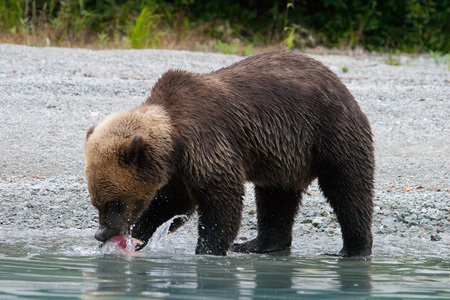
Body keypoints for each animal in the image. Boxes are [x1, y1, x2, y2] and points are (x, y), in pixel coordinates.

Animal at [86, 50, 374, 256]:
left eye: (115, 202)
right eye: (96, 202)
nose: (102, 233)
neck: (175, 141)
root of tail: (337, 80)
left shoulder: (207, 143)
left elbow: (221, 198)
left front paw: (207, 249)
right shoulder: (177, 171)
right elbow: (171, 203)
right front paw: (141, 234)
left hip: (329, 131)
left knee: (348, 188)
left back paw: (353, 249)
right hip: (284, 156)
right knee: (276, 197)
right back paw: (259, 244)